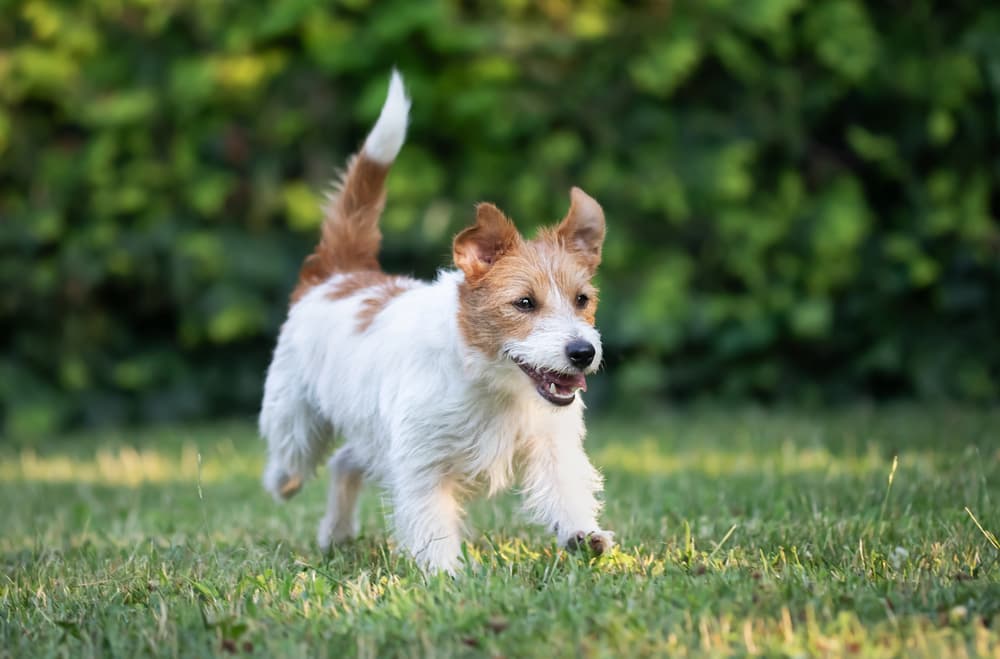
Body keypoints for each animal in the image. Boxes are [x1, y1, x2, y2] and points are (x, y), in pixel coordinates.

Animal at [258, 71, 612, 572]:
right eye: (524, 303)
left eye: (582, 300)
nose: (583, 352)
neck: (489, 382)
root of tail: (342, 272)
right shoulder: (421, 462)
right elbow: (430, 521)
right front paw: (447, 575)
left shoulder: (548, 442)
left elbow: (564, 489)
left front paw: (582, 533)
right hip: (295, 418)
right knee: (292, 462)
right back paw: (284, 486)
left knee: (345, 459)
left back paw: (337, 533)